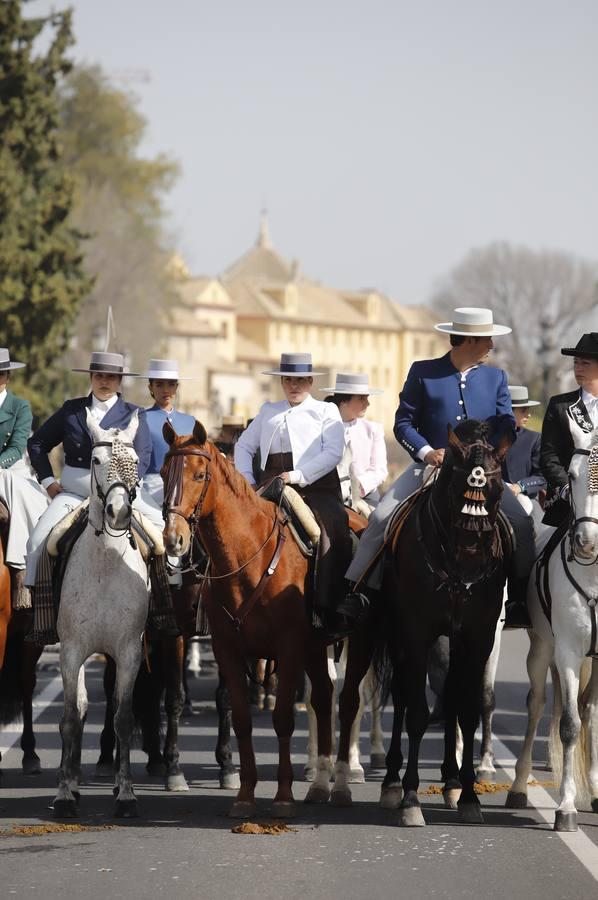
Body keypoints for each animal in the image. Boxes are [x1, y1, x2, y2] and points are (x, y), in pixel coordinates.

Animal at [162, 418, 372, 820]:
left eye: (200, 475)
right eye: (165, 473)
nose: (173, 539)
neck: (249, 556)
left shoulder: (288, 649)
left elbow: (283, 719)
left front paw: (284, 797)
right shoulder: (228, 649)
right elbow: (242, 719)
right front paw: (244, 794)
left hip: (356, 642)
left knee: (349, 701)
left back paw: (340, 783)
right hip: (314, 647)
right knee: (324, 698)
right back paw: (320, 784)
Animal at [378, 418, 512, 828]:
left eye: (497, 488)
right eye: (456, 487)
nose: (472, 561)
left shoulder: (478, 637)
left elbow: (467, 709)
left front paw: (469, 795)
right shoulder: (416, 634)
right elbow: (417, 713)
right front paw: (410, 798)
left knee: (450, 699)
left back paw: (452, 782)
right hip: (399, 637)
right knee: (403, 698)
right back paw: (391, 782)